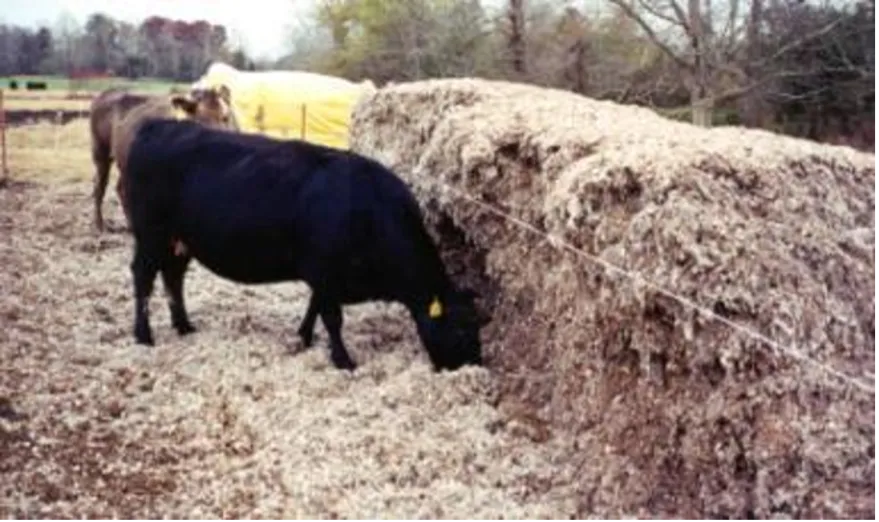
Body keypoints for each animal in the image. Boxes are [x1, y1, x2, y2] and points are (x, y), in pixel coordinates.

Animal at [89, 85, 238, 232]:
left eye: (225, 117)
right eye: (201, 120)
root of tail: (108, 92)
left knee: (121, 189)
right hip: (100, 154)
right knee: (99, 186)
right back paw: (100, 225)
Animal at [123, 117, 486, 373]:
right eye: (461, 331)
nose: (474, 367)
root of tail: (159, 125)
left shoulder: (324, 277)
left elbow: (314, 307)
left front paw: (304, 337)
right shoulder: (324, 271)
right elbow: (333, 318)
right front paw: (343, 360)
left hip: (179, 241)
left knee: (173, 276)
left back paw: (184, 326)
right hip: (150, 234)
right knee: (143, 277)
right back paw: (144, 335)